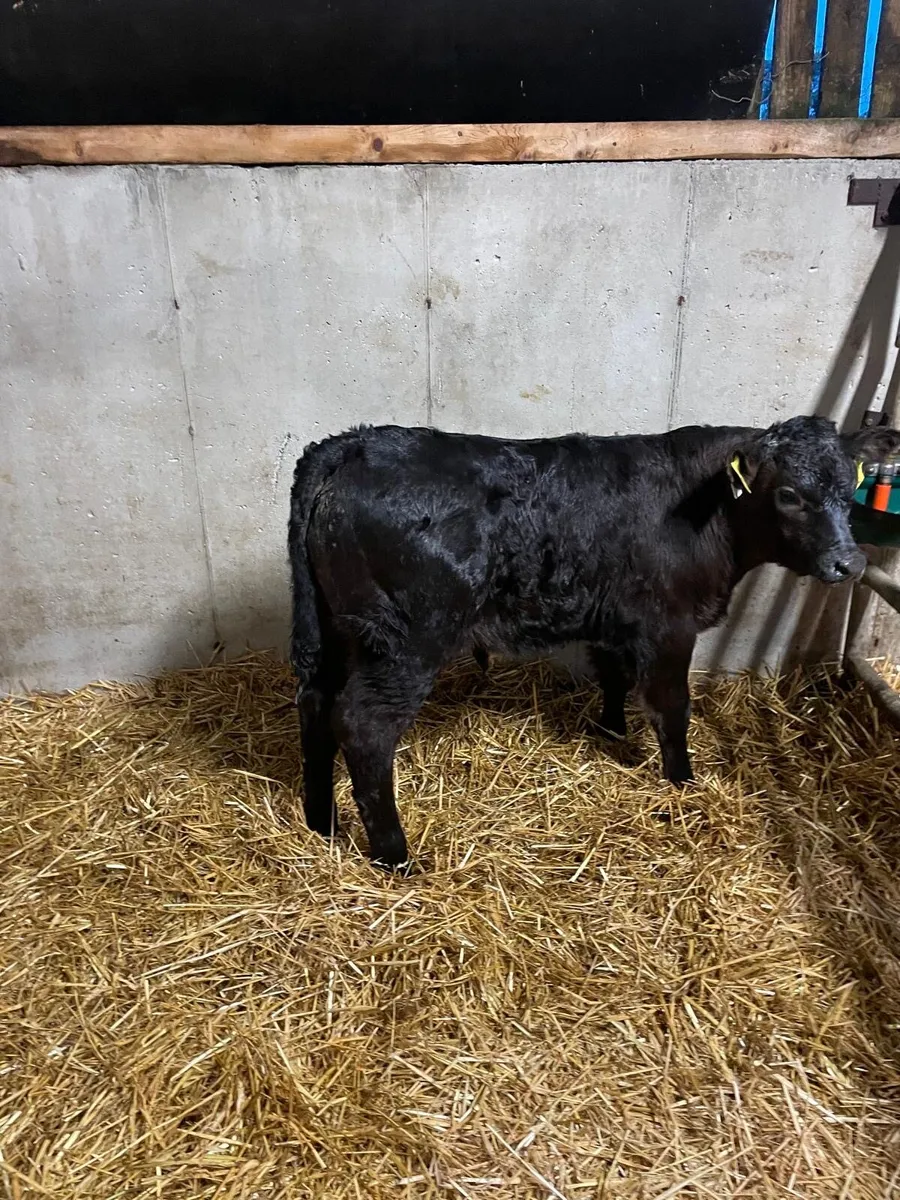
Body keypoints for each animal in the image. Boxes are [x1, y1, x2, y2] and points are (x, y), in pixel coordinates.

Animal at [288, 416, 900, 867]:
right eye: (790, 495)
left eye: (849, 486)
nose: (849, 563)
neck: (707, 513)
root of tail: (356, 442)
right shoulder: (668, 626)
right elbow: (671, 707)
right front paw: (681, 781)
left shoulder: (617, 618)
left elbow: (615, 675)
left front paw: (610, 732)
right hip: (406, 641)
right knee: (364, 727)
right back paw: (395, 856)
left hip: (336, 631)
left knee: (316, 705)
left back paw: (322, 822)